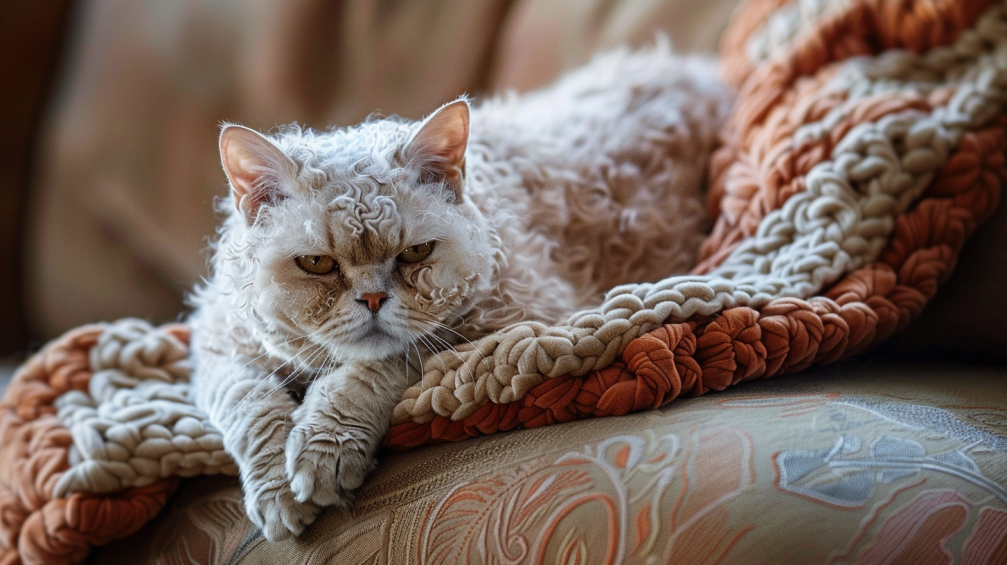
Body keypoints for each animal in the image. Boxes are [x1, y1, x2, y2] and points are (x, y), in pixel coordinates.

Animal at [187, 45, 733, 543]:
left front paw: (325, 449)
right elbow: (249, 405)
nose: (372, 301)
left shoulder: (511, 317)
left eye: (415, 253)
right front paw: (277, 490)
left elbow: (377, 367)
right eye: (318, 264)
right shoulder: (218, 346)